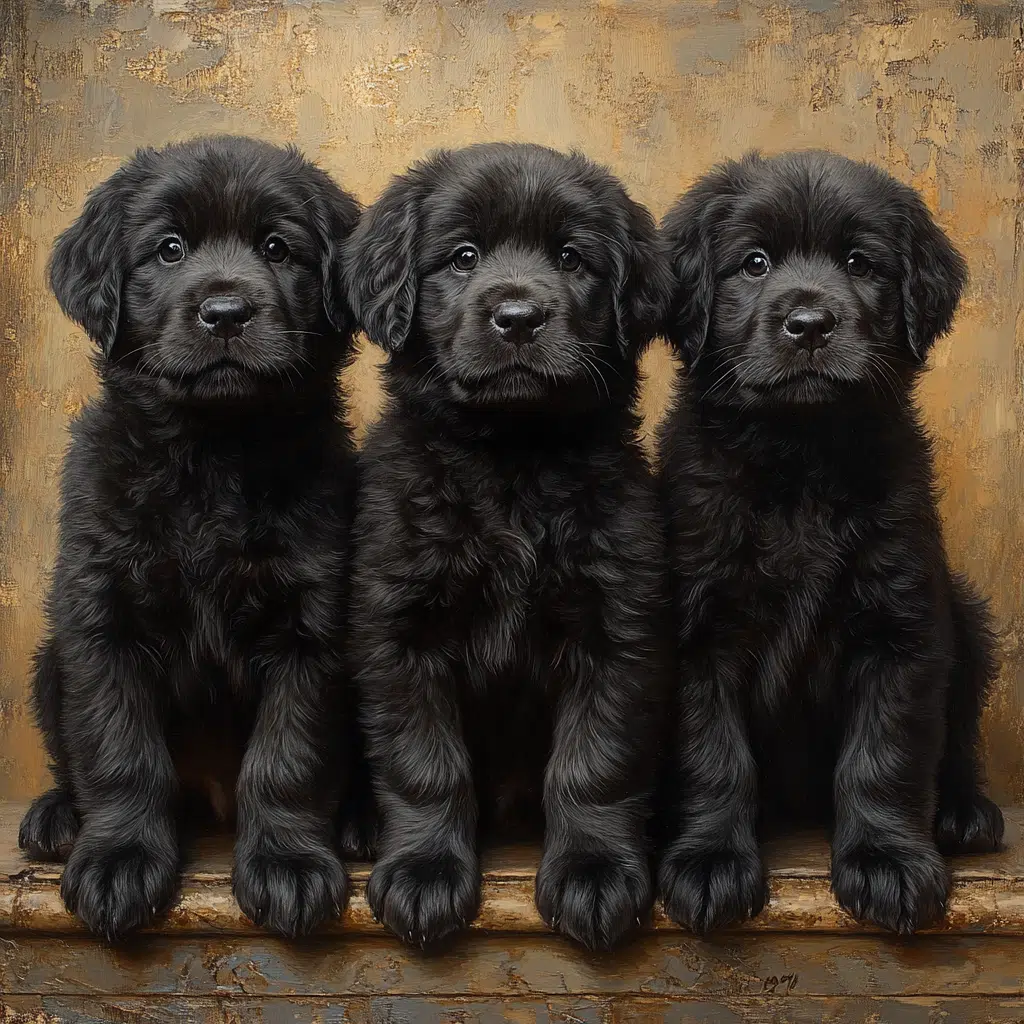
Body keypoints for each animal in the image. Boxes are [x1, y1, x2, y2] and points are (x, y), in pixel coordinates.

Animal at [18, 138, 368, 942]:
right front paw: (117, 860)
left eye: (277, 248)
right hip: (50, 659)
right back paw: (56, 818)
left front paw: (288, 865)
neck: (214, 454)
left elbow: (287, 755)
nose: (226, 312)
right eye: (169, 249)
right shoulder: (102, 617)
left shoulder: (312, 625)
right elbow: (119, 750)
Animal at [348, 142, 675, 950]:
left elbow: (595, 763)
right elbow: (425, 764)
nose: (518, 317)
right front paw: (425, 873)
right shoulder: (400, 630)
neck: (511, 465)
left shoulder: (619, 626)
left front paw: (593, 873)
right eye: (463, 256)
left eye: (571, 258)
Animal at [655, 148, 999, 937]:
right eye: (753, 263)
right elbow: (712, 753)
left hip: (968, 617)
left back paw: (964, 812)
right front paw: (711, 862)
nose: (809, 324)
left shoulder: (902, 624)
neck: (800, 461)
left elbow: (885, 753)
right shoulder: (697, 630)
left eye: (860, 263)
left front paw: (887, 861)